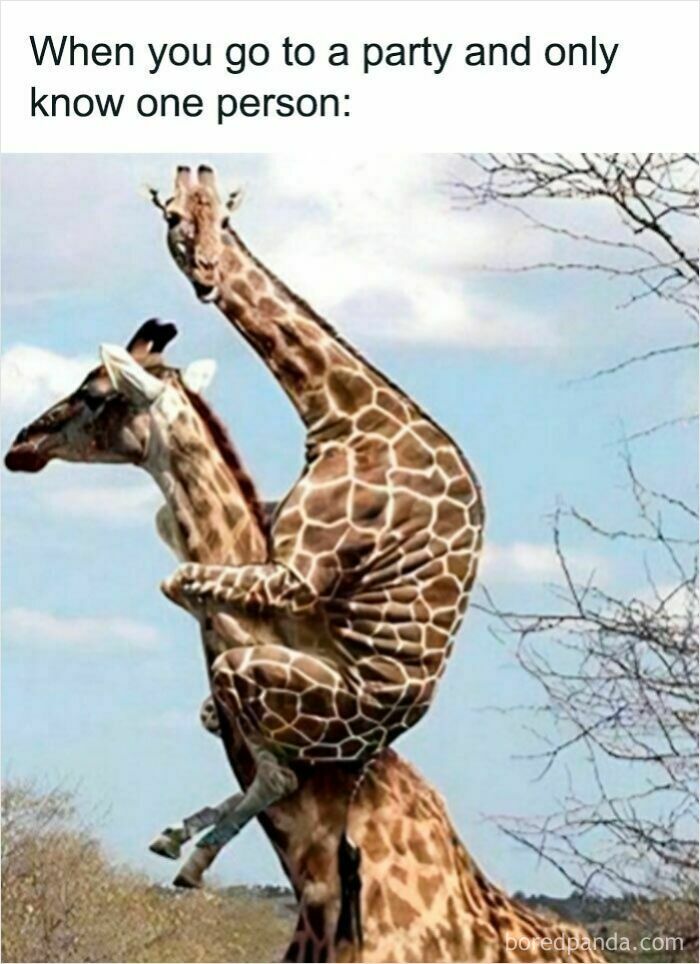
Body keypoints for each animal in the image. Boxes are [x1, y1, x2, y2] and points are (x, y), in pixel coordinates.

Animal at [148, 164, 486, 860]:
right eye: (174, 216)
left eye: (226, 218)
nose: (207, 276)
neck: (342, 414)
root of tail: (383, 732)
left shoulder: (296, 576)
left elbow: (182, 578)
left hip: (274, 682)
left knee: (282, 767)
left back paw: (191, 848)